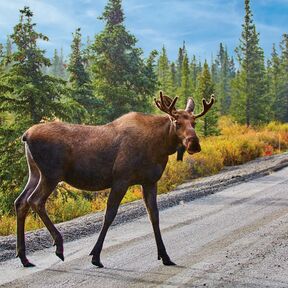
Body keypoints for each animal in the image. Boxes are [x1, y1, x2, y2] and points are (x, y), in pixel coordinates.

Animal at [15, 91, 214, 266]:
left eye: (194, 122)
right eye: (176, 122)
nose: (194, 143)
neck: (160, 146)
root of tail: (25, 135)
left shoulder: (149, 181)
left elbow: (154, 216)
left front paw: (165, 256)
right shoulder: (121, 179)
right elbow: (109, 215)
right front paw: (95, 256)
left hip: (35, 173)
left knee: (21, 202)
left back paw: (24, 258)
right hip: (51, 174)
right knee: (35, 201)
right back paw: (58, 245)